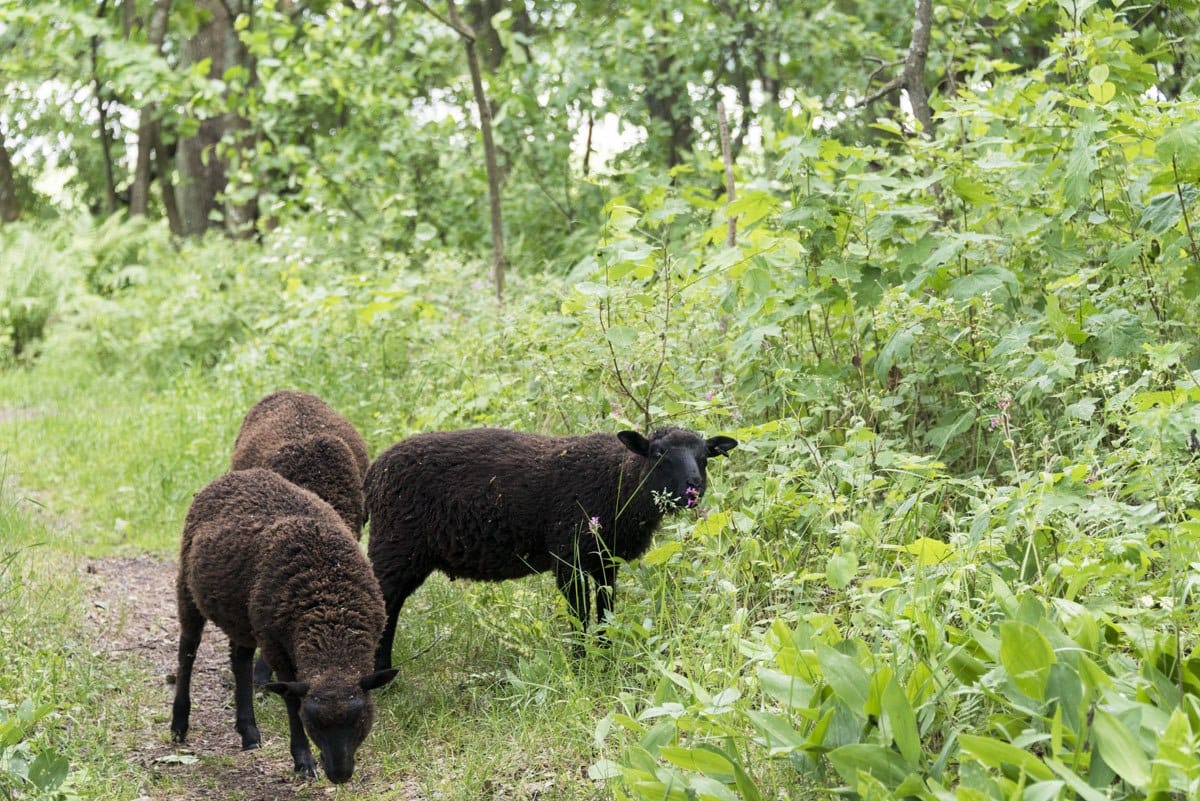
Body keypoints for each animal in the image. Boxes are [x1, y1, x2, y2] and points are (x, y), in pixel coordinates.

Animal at [170, 465, 398, 786]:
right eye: (312, 722)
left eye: (361, 719)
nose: (339, 775)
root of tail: (242, 473)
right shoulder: (277, 648)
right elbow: (290, 699)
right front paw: (303, 761)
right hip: (189, 589)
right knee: (187, 650)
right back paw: (179, 723)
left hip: (244, 617)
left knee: (239, 659)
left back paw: (249, 732)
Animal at [360, 424, 734, 671]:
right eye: (658, 454)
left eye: (705, 456)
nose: (693, 488)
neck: (619, 482)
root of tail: (373, 472)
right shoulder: (568, 557)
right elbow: (579, 615)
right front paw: (581, 664)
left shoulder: (605, 560)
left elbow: (605, 609)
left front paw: (604, 655)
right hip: (395, 545)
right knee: (383, 602)